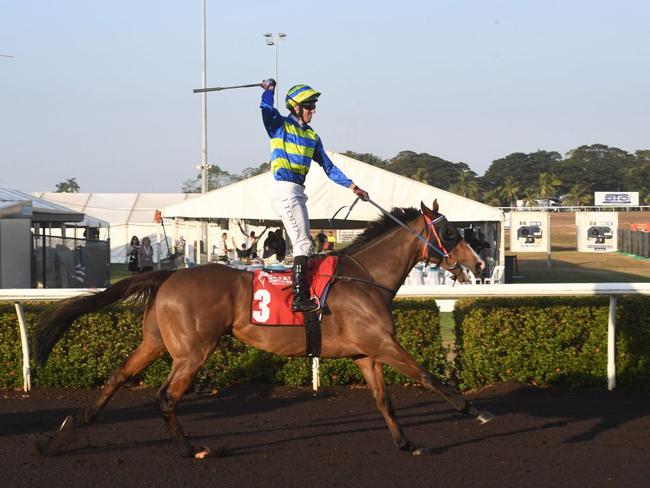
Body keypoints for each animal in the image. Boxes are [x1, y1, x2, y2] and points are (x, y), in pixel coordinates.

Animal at [35, 198, 492, 458]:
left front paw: (407, 443)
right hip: (192, 351)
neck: (366, 277)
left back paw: (65, 431)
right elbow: (428, 376)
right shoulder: (382, 342)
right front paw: (475, 410)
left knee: (117, 377)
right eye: (450, 231)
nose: (481, 263)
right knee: (165, 397)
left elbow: (385, 401)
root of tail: (168, 275)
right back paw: (189, 448)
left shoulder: (367, 353)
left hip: (156, 342)